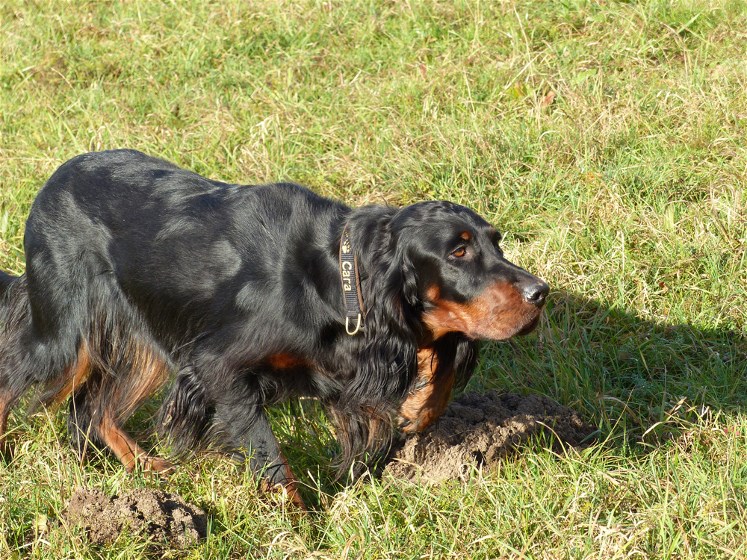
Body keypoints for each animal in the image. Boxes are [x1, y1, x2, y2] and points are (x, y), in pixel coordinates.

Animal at [1, 150, 548, 508]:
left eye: (496, 242)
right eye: (458, 251)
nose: (539, 293)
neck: (334, 276)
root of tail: (52, 183)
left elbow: (440, 361)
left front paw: (419, 408)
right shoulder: (216, 365)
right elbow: (271, 457)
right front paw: (302, 526)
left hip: (140, 337)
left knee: (93, 409)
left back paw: (146, 469)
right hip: (64, 334)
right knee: (20, 375)